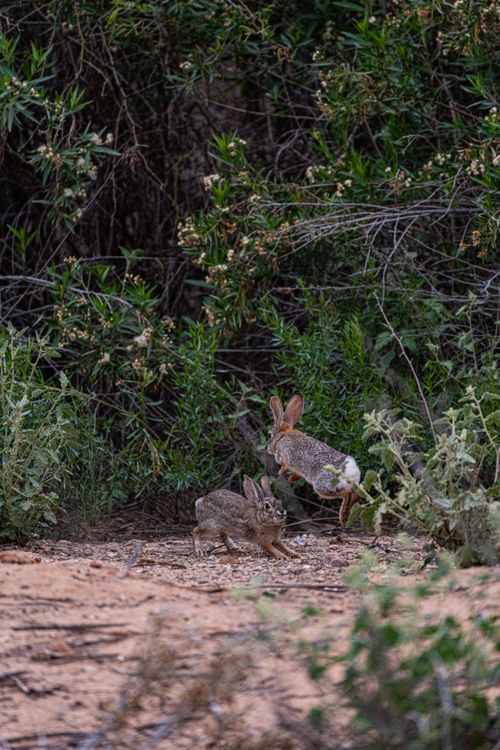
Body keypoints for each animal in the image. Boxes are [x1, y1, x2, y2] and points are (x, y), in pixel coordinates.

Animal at [267, 393, 361, 526]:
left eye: (269, 435)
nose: (268, 450)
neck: (282, 436)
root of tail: (348, 469)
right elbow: (296, 473)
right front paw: (291, 479)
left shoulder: (284, 457)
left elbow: (285, 466)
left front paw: (281, 473)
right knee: (356, 494)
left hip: (322, 487)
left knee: (347, 494)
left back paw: (343, 517)